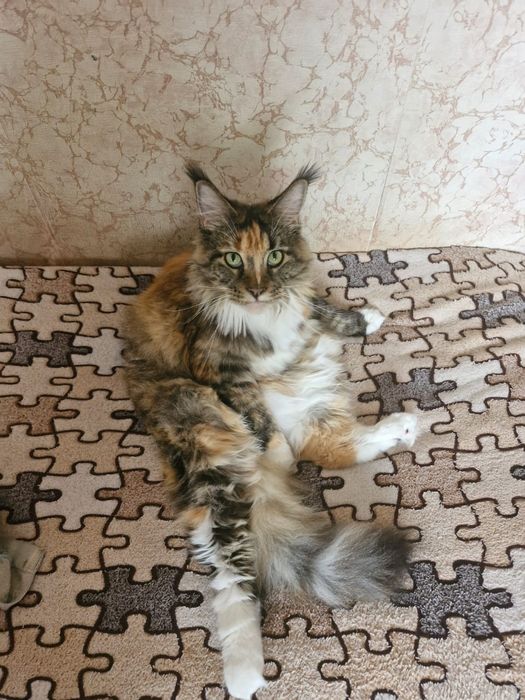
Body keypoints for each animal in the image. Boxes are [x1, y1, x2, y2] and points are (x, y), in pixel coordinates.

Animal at [124, 163, 417, 699]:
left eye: (275, 257)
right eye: (234, 259)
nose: (259, 290)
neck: (264, 316)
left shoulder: (302, 301)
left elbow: (320, 307)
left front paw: (362, 318)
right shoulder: (218, 372)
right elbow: (255, 412)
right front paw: (274, 449)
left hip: (304, 413)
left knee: (336, 448)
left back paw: (404, 425)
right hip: (210, 446)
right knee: (232, 570)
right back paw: (244, 672)